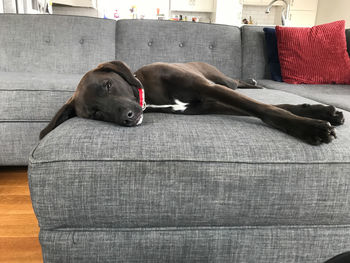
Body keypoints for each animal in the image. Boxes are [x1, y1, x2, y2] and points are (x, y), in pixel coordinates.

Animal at [40, 60, 344, 145]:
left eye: (108, 85)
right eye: (95, 113)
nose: (127, 117)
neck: (150, 96)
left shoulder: (209, 90)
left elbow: (264, 108)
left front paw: (312, 127)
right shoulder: (208, 104)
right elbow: (272, 109)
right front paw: (319, 114)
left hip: (221, 81)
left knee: (237, 83)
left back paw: (253, 81)